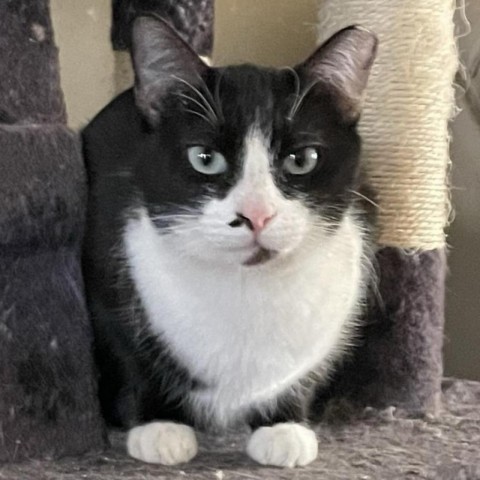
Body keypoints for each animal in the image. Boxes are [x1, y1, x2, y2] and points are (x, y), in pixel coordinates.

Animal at [81, 15, 378, 468]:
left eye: (302, 159)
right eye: (205, 158)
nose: (256, 214)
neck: (246, 289)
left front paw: (283, 426)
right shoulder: (108, 266)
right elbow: (132, 349)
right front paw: (160, 426)